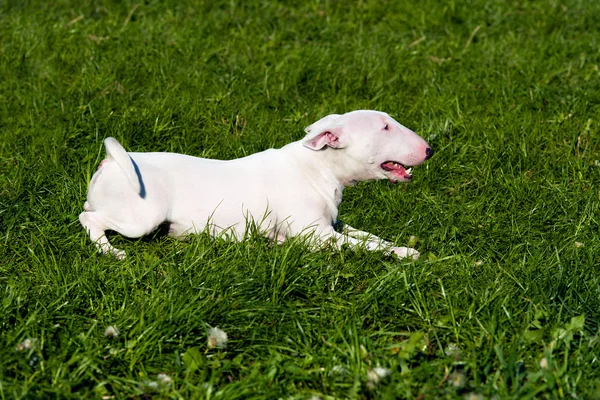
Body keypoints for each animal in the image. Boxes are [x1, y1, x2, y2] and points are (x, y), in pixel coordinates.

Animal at [81, 109, 432, 260]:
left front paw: (401, 246)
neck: (316, 167)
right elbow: (366, 245)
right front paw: (406, 253)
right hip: (141, 219)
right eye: (385, 127)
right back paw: (109, 250)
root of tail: (110, 162)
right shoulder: (317, 236)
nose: (429, 150)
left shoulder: (334, 224)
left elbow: (370, 236)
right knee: (90, 218)